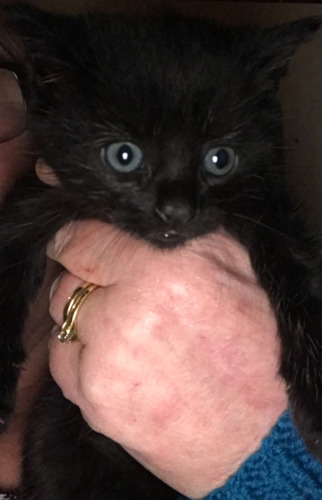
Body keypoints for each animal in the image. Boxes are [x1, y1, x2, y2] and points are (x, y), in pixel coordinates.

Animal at [0, 4, 322, 500]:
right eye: (124, 156)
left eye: (219, 159)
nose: (176, 211)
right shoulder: (42, 195)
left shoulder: (268, 203)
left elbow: (298, 271)